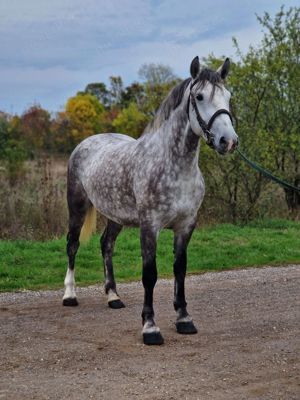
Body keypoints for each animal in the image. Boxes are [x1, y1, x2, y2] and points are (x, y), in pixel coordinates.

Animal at [62, 55, 239, 344]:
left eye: (228, 96)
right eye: (199, 96)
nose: (229, 141)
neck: (173, 166)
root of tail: (86, 143)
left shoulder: (185, 226)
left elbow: (180, 269)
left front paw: (184, 319)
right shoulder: (150, 226)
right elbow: (150, 275)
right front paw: (150, 327)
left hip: (116, 215)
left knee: (106, 245)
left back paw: (113, 297)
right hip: (77, 207)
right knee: (72, 245)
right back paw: (69, 295)